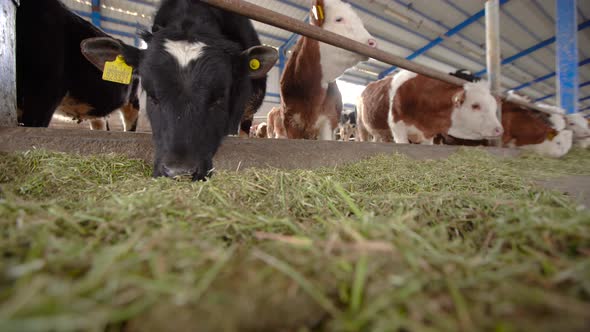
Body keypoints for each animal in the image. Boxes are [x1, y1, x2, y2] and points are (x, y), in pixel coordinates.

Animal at [356, 70, 504, 145]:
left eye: (494, 107)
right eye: (475, 105)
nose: (499, 130)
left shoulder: (428, 135)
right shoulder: (398, 128)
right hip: (361, 125)